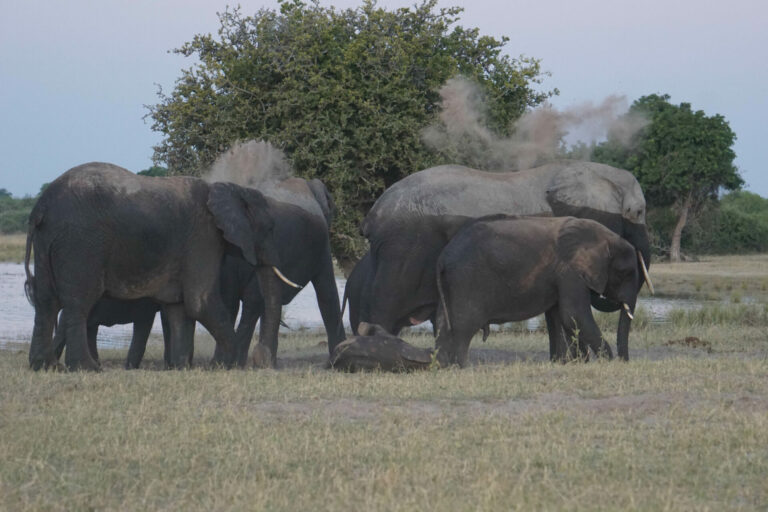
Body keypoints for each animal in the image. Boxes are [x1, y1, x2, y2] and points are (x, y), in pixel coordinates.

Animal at [24, 162, 292, 370]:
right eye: (269, 228)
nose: (263, 362)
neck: (228, 188)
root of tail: (41, 207)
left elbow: (177, 307)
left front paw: (182, 368)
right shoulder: (203, 237)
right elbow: (200, 302)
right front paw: (228, 365)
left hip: (47, 241)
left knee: (46, 301)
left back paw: (44, 367)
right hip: (80, 242)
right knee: (78, 302)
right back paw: (87, 368)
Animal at [432, 216, 640, 368]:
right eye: (624, 273)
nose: (624, 362)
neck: (603, 236)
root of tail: (443, 257)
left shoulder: (563, 274)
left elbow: (558, 317)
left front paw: (564, 363)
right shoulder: (570, 272)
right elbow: (573, 314)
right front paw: (608, 362)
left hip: (452, 282)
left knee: (443, 322)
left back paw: (442, 366)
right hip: (467, 280)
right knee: (464, 326)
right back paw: (463, 367)